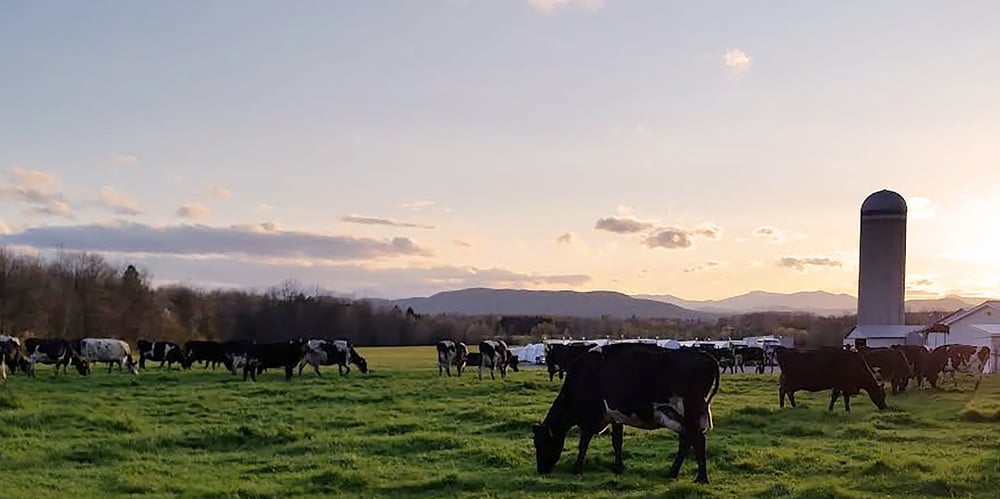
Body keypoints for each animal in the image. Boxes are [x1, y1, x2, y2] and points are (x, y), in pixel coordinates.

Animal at [532, 344, 720, 484]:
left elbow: (583, 443)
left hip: (690, 411)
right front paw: (619, 467)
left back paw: (701, 478)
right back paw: (673, 472)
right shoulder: (615, 417)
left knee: (698, 440)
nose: (541, 470)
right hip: (678, 415)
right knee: (687, 440)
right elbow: (617, 442)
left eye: (541, 443)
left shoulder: (590, 418)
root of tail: (705, 356)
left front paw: (577, 468)